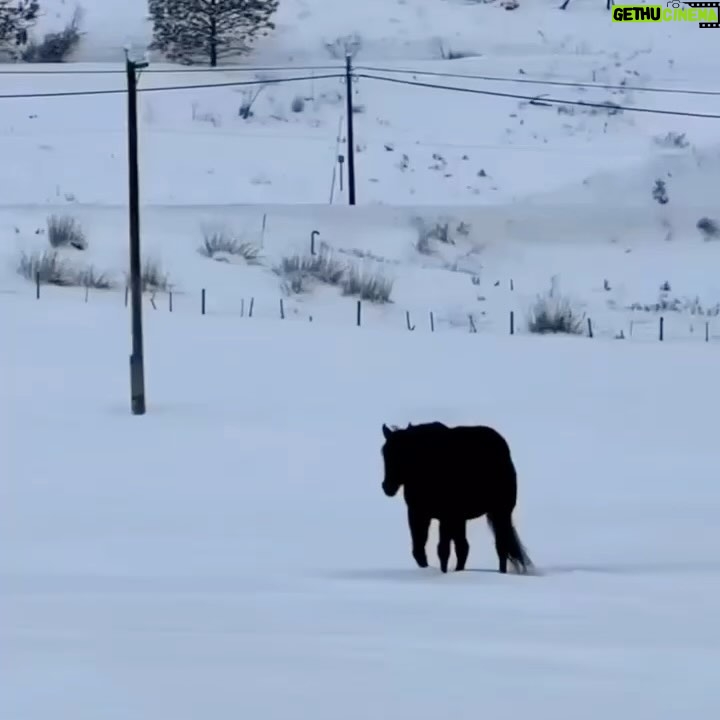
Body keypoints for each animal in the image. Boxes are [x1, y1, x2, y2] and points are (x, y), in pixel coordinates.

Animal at [380, 422, 532, 572]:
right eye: (384, 453)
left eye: (404, 454)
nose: (387, 487)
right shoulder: (418, 514)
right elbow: (419, 550)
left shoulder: (446, 517)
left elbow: (443, 550)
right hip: (463, 519)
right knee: (464, 548)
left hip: (500, 513)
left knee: (501, 547)